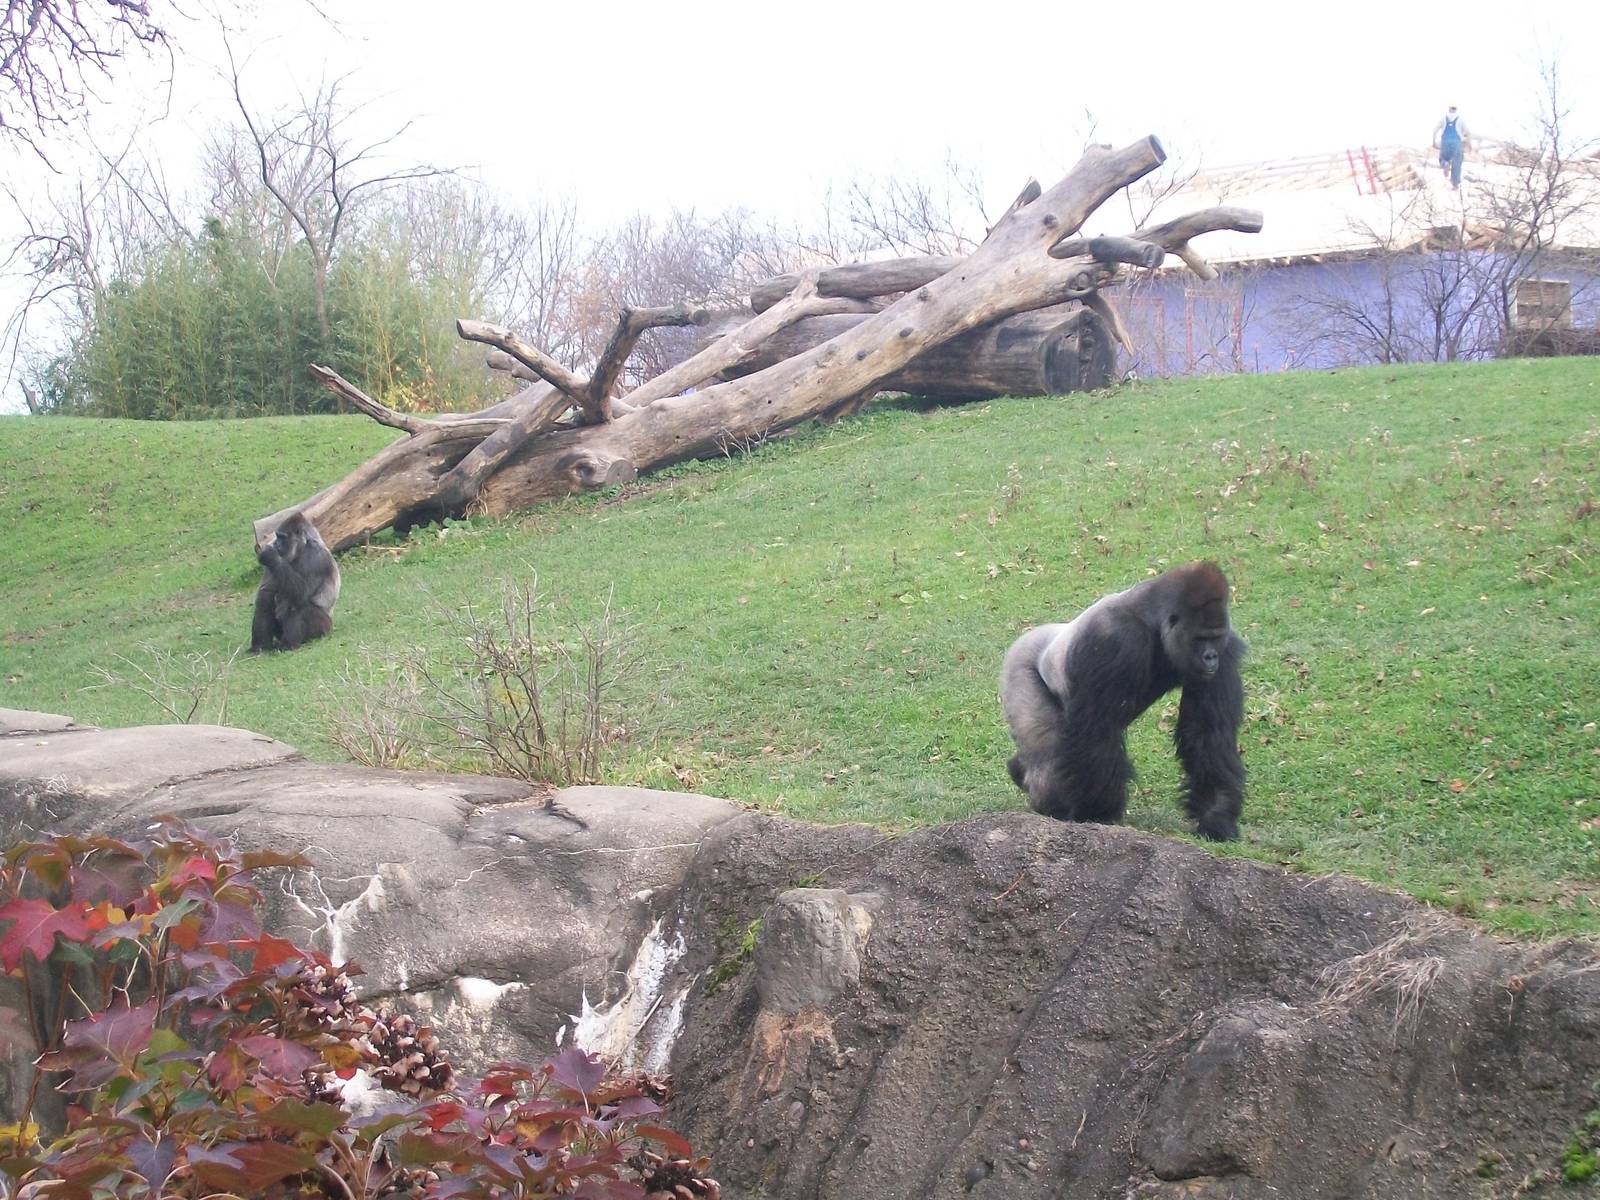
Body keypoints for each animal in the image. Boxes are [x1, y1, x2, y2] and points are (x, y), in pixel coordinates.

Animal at [999, 561, 1246, 841]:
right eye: (1199, 638)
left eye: (1215, 636)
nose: (1210, 657)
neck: (1152, 616)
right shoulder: (1114, 640)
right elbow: (1097, 732)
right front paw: (1099, 813)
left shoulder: (1226, 648)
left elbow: (1208, 732)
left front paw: (1217, 815)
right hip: (1019, 665)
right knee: (1045, 749)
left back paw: (1019, 770)